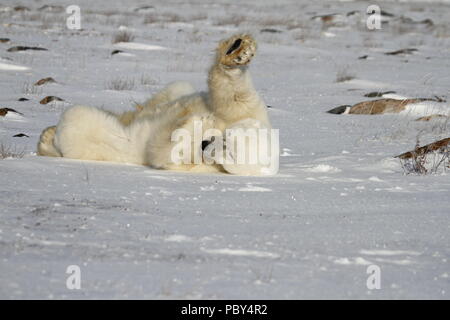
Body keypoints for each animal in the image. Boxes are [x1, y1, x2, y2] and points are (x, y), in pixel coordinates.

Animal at [37, 33, 276, 175]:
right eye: (227, 139)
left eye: (230, 155)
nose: (206, 144)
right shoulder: (252, 112)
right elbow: (235, 96)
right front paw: (239, 51)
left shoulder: (197, 167)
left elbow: (163, 151)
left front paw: (191, 125)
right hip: (177, 91)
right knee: (170, 93)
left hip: (111, 142)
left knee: (80, 123)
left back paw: (48, 139)